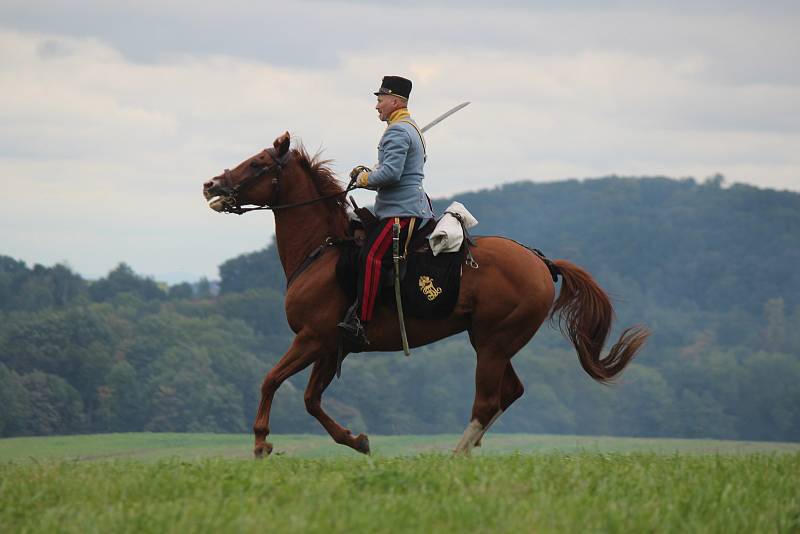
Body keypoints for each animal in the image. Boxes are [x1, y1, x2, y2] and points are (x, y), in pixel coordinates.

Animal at [202, 132, 648, 458]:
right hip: (491, 342)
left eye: (258, 163)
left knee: (487, 401)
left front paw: (261, 441)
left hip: (494, 342)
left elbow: (270, 380)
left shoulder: (312, 339)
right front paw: (356, 440)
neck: (323, 250)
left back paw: (454, 457)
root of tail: (540, 262)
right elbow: (311, 399)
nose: (211, 185)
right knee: (510, 392)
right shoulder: (331, 346)